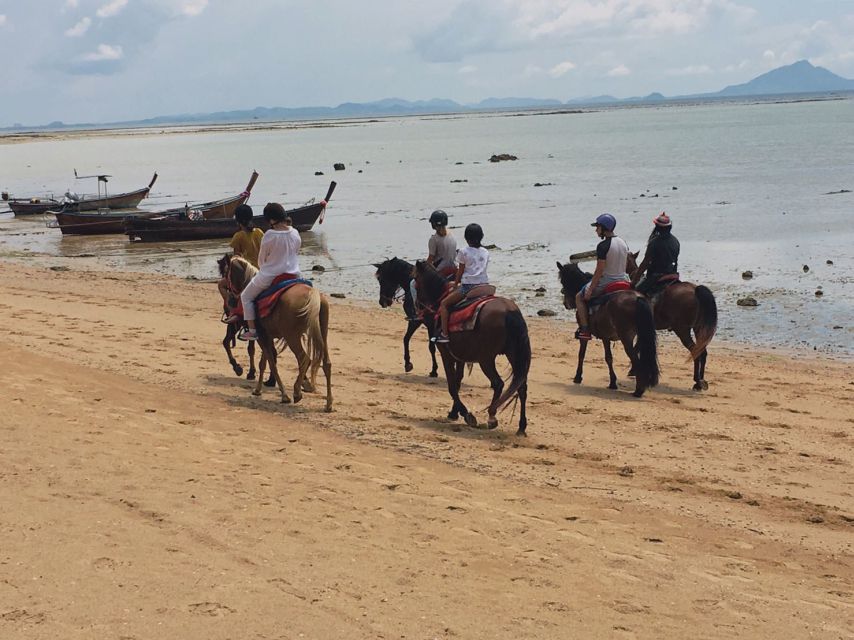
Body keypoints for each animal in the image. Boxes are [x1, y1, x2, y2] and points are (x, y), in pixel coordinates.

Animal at [221, 254, 334, 410]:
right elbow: (265, 362)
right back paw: (328, 403)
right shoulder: (266, 336)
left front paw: (284, 395)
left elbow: (271, 364)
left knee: (304, 359)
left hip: (292, 336)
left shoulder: (262, 336)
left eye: (226, 272)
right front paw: (258, 389)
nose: (230, 301)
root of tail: (313, 294)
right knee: (326, 363)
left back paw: (297, 392)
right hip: (323, 333)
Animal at [412, 260, 528, 436]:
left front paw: (466, 414)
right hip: (513, 355)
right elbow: (458, 381)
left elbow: (452, 386)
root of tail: (509, 311)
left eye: (416, 282)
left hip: (486, 359)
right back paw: (521, 426)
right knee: (521, 387)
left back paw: (492, 417)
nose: (418, 307)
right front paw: (454, 413)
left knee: (498, 384)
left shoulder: (446, 354)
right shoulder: (460, 356)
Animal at [556, 260, 664, 396]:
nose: (566, 304)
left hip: (626, 338)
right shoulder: (606, 336)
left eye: (563, 281)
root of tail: (637, 298)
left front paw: (578, 377)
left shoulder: (589, 334)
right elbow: (609, 358)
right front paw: (612, 382)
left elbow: (582, 354)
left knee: (636, 360)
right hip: (641, 335)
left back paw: (638, 390)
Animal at [624, 252, 720, 392]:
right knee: (702, 352)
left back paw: (697, 381)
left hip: (682, 330)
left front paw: (633, 370)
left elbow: (637, 347)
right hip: (699, 329)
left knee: (695, 352)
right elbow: (638, 346)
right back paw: (700, 382)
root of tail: (695, 290)